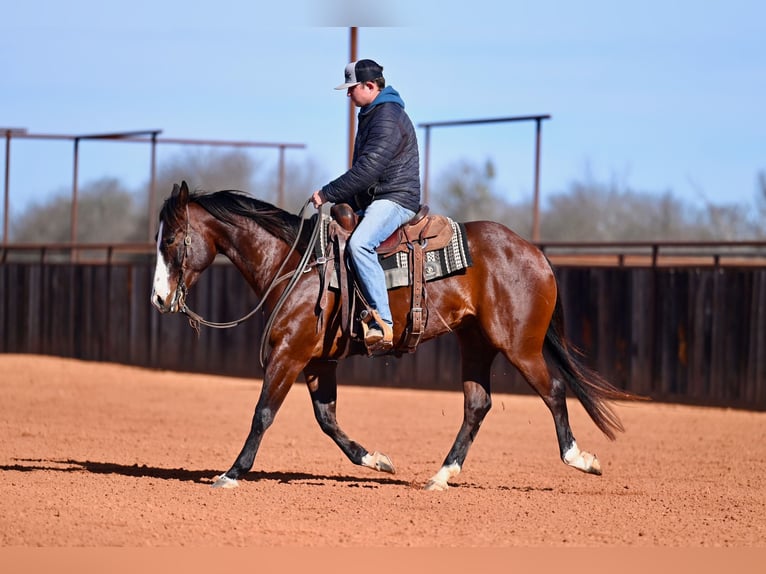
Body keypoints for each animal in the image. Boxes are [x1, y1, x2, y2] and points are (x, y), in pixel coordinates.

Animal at [151, 181, 636, 490]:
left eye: (171, 239)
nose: (157, 299)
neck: (295, 265)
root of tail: (535, 253)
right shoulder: (320, 361)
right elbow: (327, 419)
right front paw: (377, 460)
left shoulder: (288, 355)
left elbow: (263, 414)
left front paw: (232, 473)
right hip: (475, 343)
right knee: (477, 404)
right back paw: (441, 475)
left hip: (519, 345)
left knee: (553, 391)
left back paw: (580, 459)